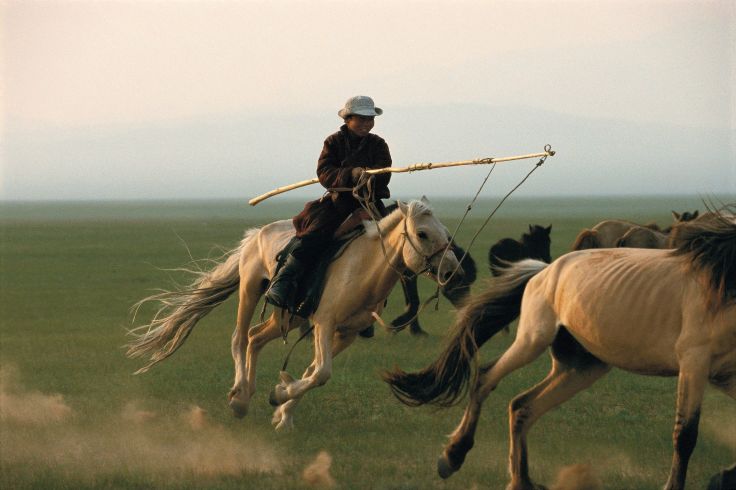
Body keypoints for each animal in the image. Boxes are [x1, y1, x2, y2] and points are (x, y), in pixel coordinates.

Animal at [126, 198, 460, 428]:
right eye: (422, 233)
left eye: (446, 233)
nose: (451, 270)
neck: (363, 268)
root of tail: (255, 234)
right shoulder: (324, 323)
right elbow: (322, 372)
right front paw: (279, 396)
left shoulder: (346, 333)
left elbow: (313, 372)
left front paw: (283, 408)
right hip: (250, 288)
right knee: (239, 337)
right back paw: (239, 397)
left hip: (287, 314)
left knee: (255, 338)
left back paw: (248, 395)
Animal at [386, 207, 736, 490]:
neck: (721, 284)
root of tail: (543, 270)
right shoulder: (693, 363)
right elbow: (685, 435)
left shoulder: (725, 375)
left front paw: (722, 476)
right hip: (533, 340)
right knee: (486, 377)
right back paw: (452, 456)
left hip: (582, 366)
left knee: (523, 406)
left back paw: (521, 480)